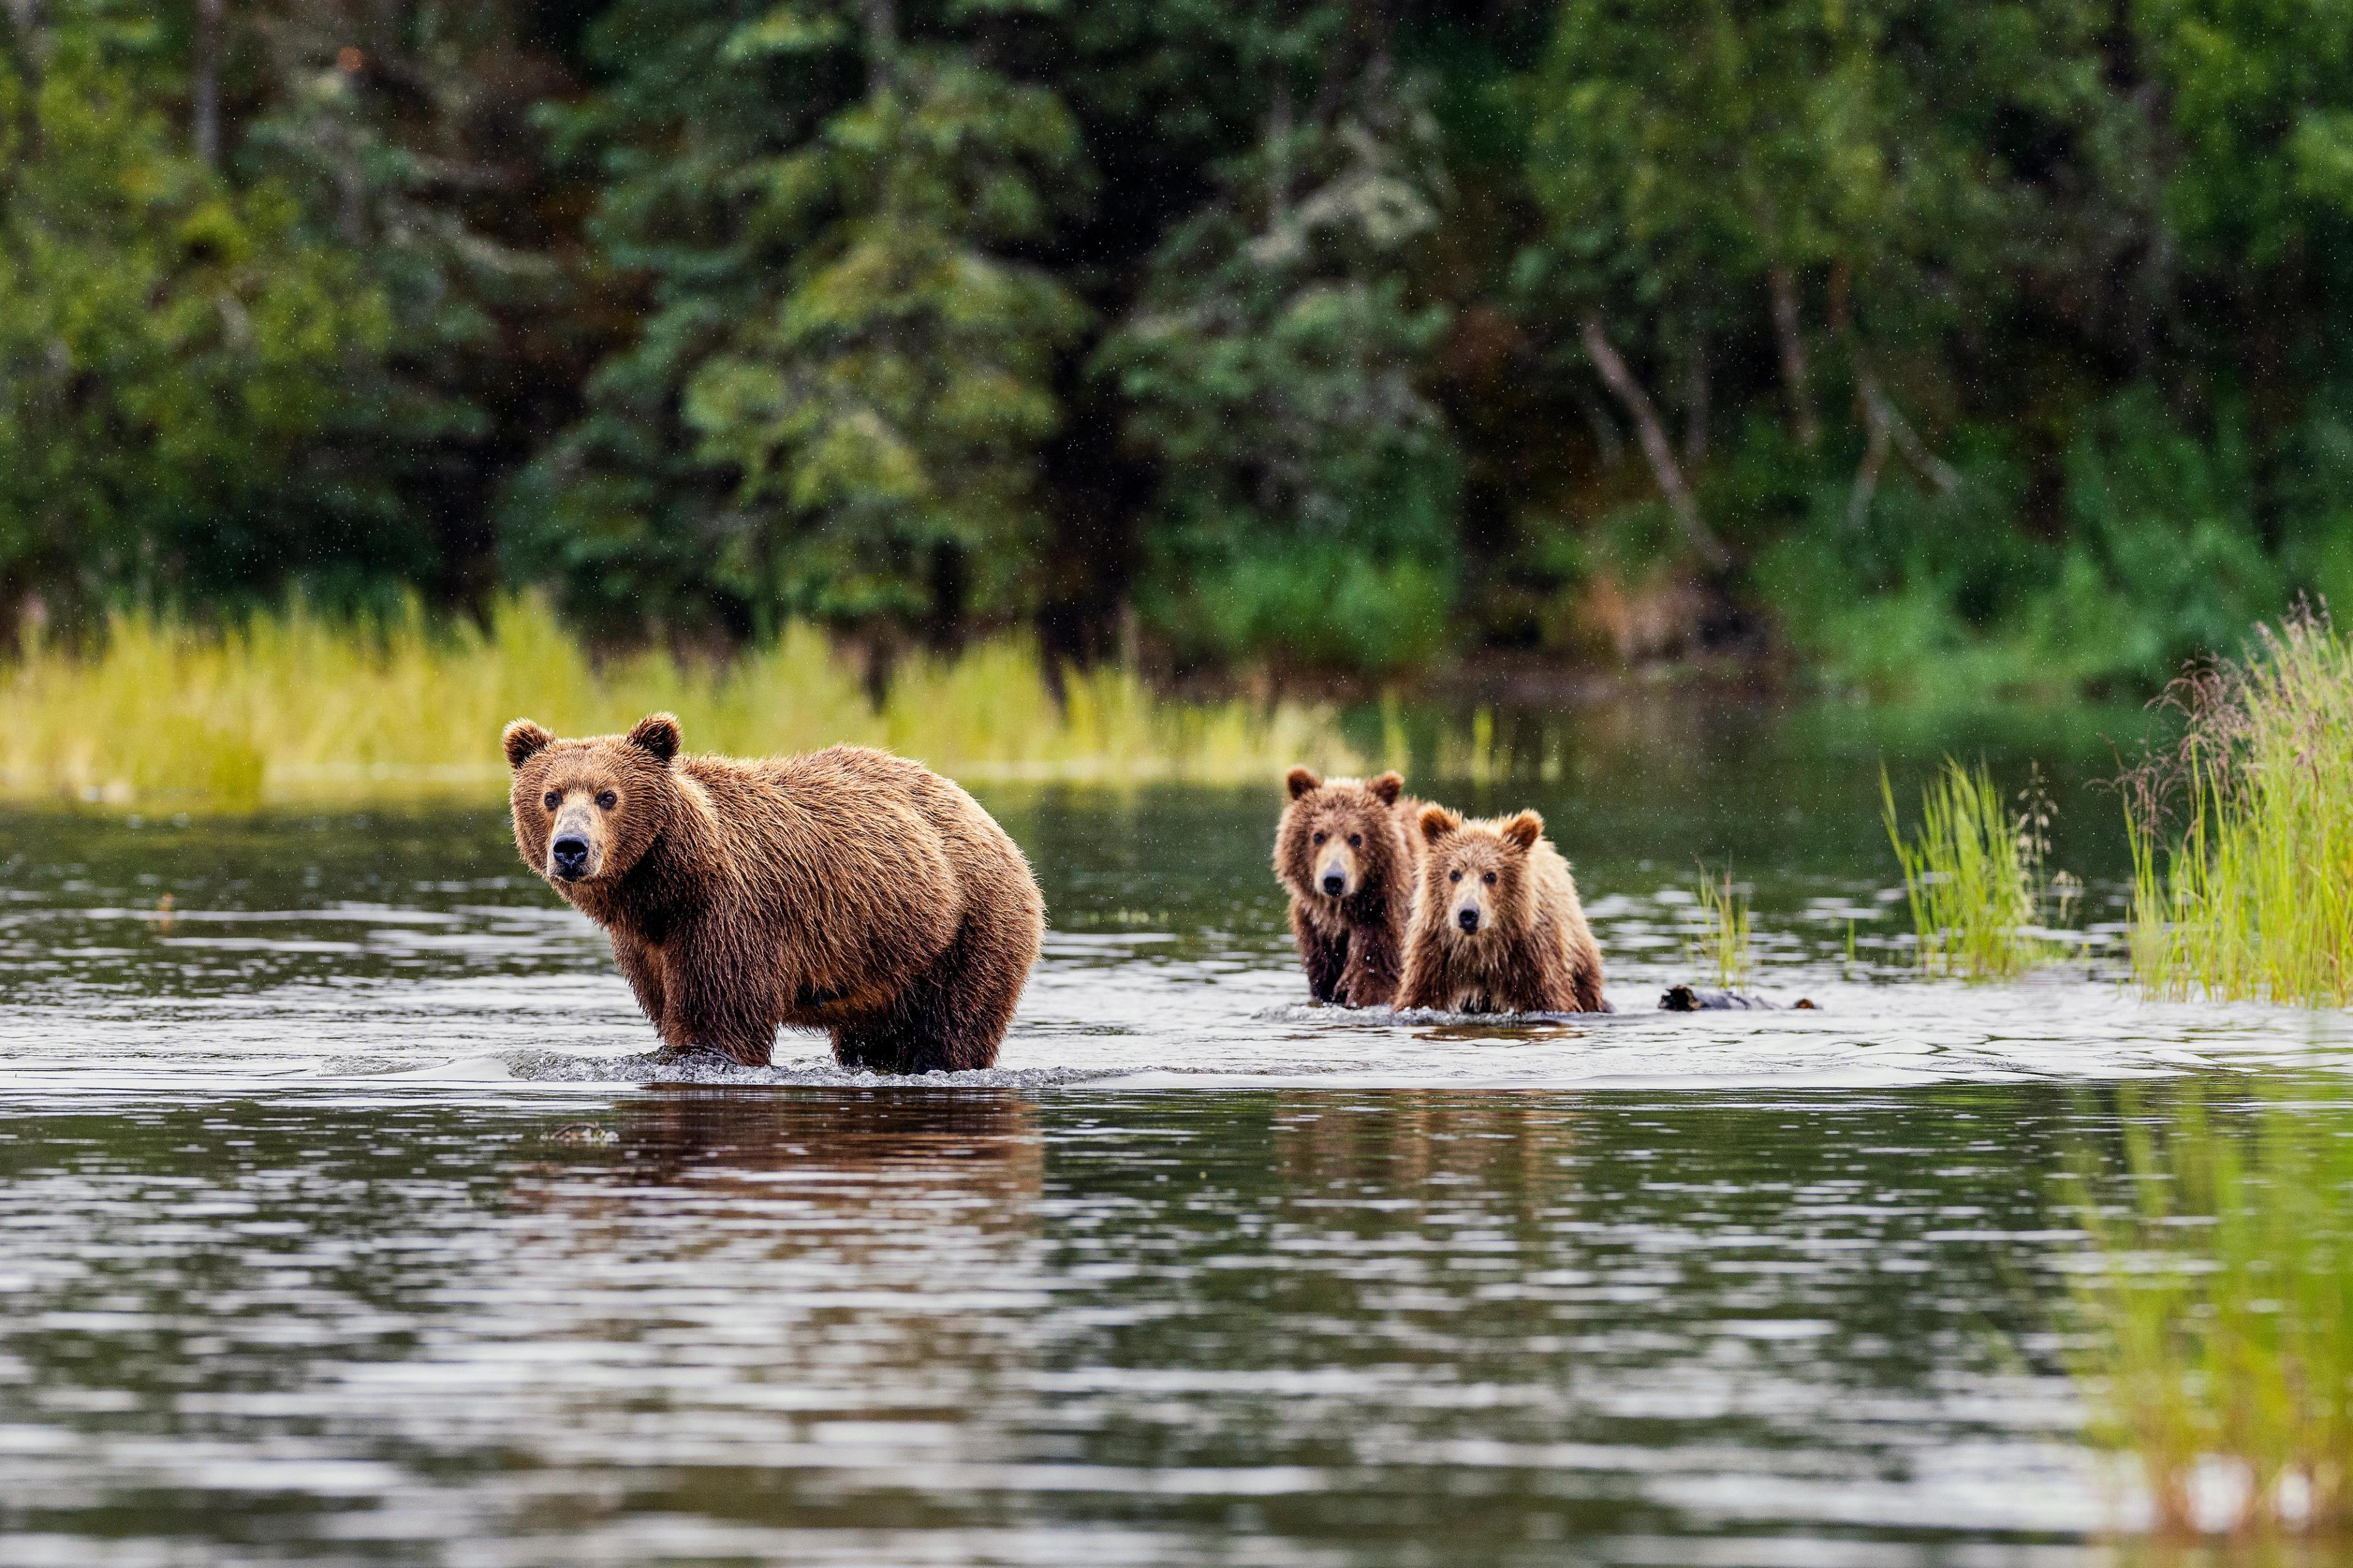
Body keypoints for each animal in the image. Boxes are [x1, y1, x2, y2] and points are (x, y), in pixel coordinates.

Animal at [502, 712, 1045, 1073]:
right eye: (550, 796)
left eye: (608, 795)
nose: (571, 848)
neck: (666, 888)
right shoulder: (648, 946)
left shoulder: (731, 917)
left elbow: (719, 1022)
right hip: (888, 965)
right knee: (874, 1039)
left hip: (969, 929)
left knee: (953, 1029)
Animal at [1273, 766, 1427, 1007]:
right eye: (1319, 836)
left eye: (1356, 838)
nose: (1334, 879)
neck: (1341, 914)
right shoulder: (1315, 933)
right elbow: (1323, 981)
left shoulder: (1382, 920)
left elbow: (1374, 978)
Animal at [1395, 805, 1608, 1015]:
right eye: (1454, 874)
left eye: (1491, 876)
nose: (1468, 914)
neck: (1482, 951)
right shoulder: (1436, 955)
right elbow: (1419, 997)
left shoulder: (1533, 959)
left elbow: (1550, 999)